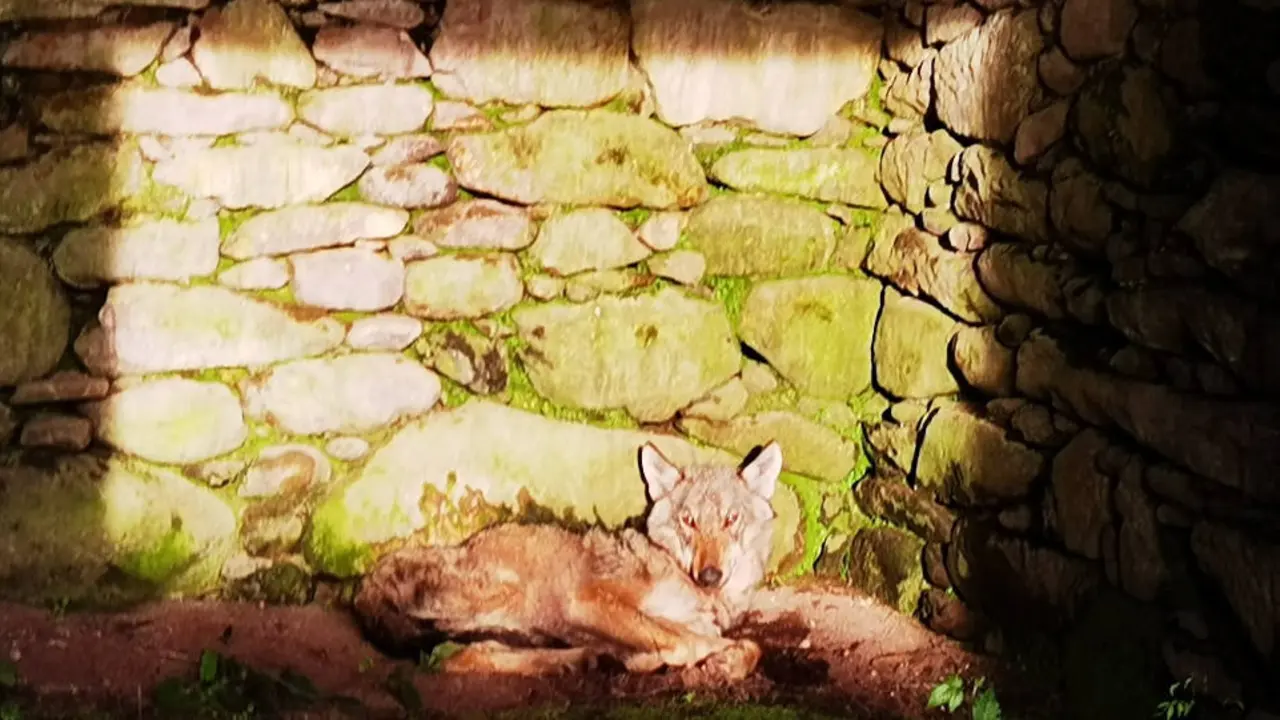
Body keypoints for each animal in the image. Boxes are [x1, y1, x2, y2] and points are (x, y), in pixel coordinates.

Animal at [352, 440, 783, 679]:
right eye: (688, 521)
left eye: (731, 519)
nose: (709, 575)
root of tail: (364, 585)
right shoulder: (588, 600)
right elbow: (686, 640)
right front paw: (661, 658)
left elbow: (749, 646)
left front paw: (729, 661)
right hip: (509, 596)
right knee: (458, 657)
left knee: (478, 651)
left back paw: (581, 659)